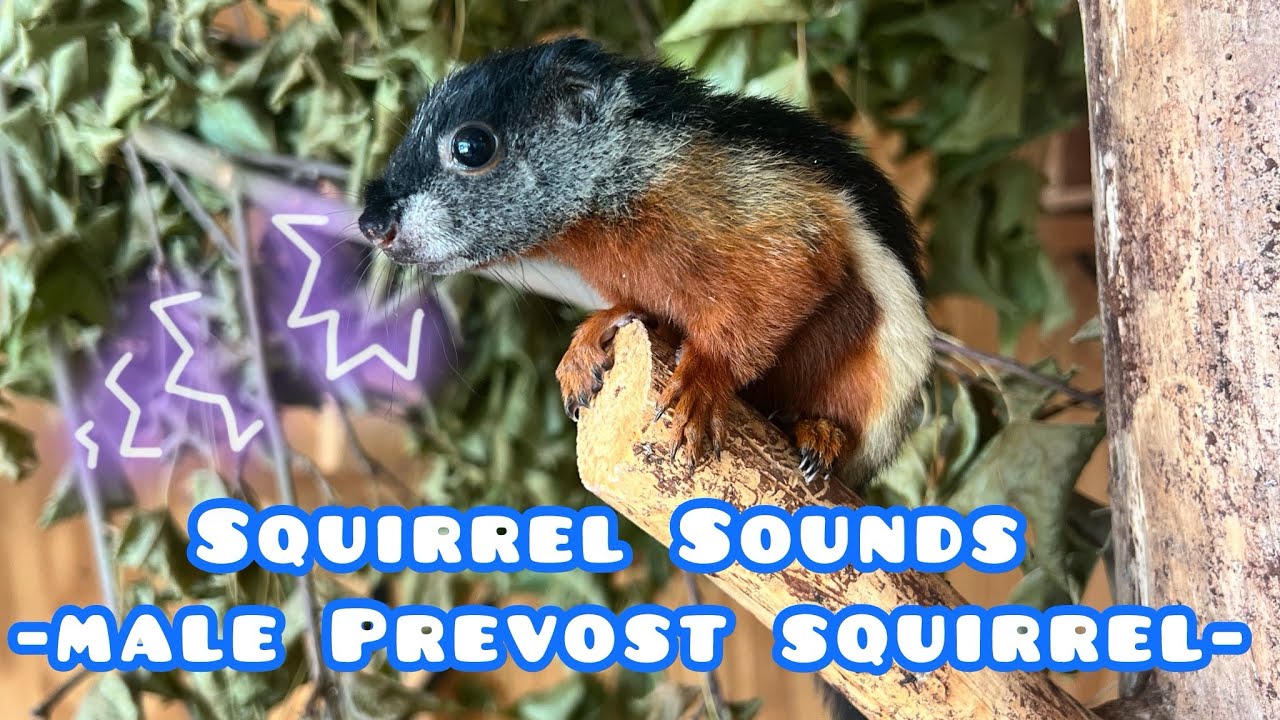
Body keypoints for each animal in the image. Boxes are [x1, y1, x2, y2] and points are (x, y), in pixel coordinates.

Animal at [359, 38, 935, 720]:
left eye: (472, 147)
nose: (371, 224)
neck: (616, 187)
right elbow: (632, 311)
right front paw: (588, 343)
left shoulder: (779, 228)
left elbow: (770, 299)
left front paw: (700, 386)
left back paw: (818, 434)